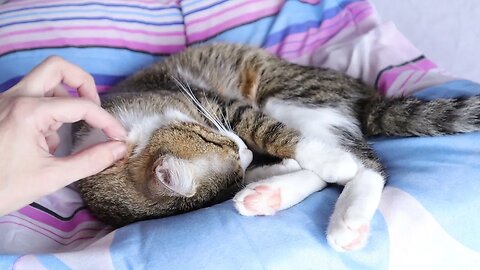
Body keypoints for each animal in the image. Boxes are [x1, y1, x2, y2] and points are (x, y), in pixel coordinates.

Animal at [73, 42, 480, 251]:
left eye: (212, 136)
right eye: (231, 163)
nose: (245, 152)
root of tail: (364, 97)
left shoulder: (214, 103)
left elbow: (267, 130)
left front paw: (315, 162)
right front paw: (268, 172)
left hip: (291, 97)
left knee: (366, 163)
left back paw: (346, 214)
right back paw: (267, 196)